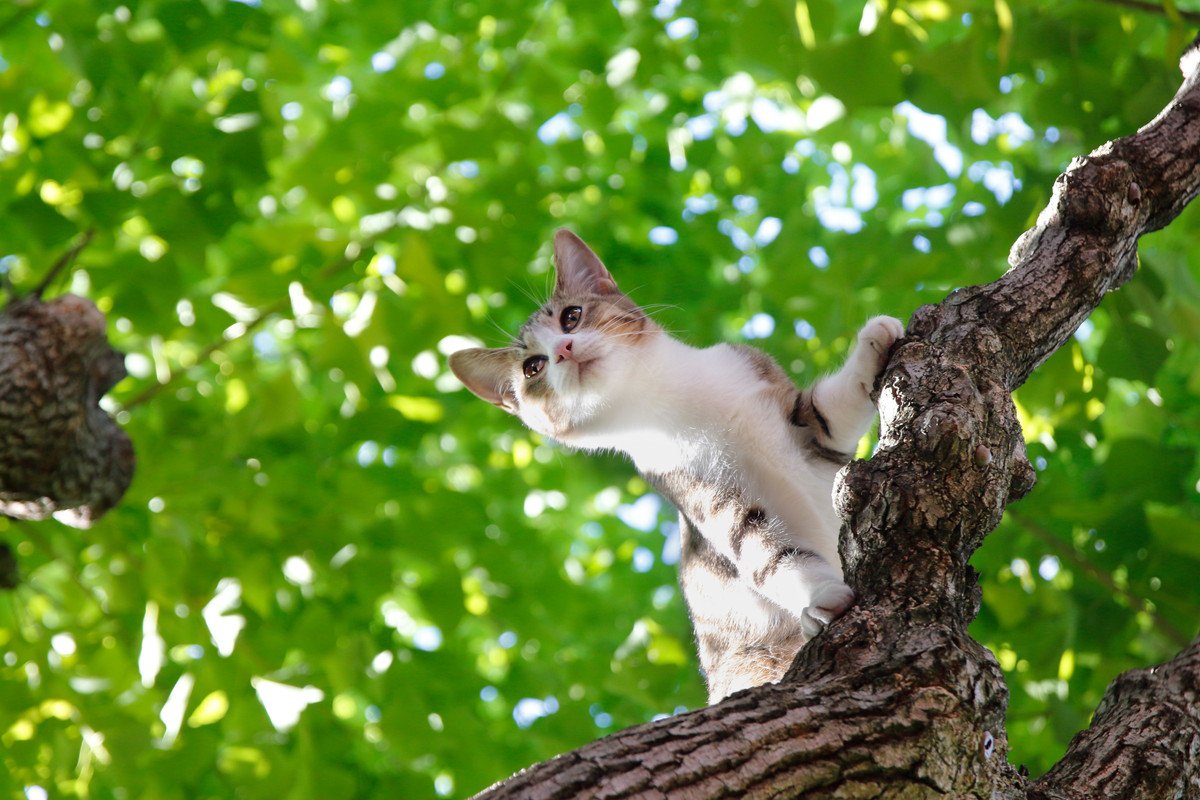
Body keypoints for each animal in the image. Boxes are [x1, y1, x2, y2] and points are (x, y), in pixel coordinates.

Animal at [451, 227, 902, 705]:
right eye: (532, 366)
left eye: (571, 317)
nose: (564, 350)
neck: (679, 402)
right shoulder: (706, 495)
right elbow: (766, 553)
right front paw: (819, 594)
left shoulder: (797, 416)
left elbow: (829, 411)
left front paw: (874, 340)